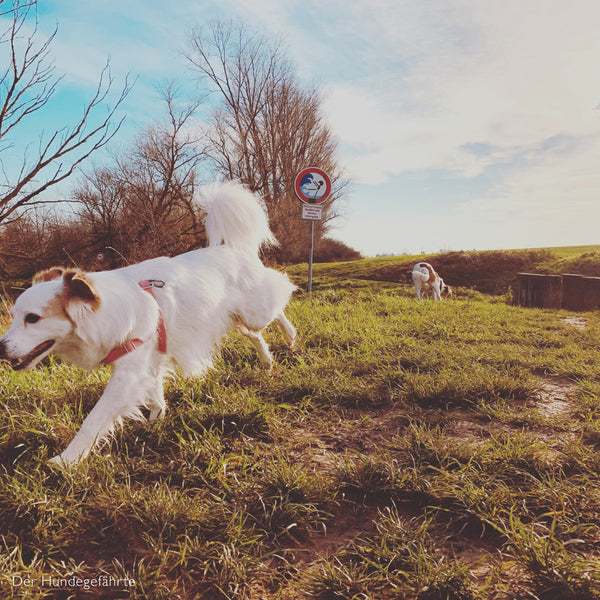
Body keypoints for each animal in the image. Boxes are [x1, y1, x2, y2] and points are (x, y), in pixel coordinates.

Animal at [0, 183, 296, 468]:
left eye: (33, 318)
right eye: (14, 315)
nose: (0, 348)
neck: (104, 314)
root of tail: (231, 248)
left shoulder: (128, 375)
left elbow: (93, 420)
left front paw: (67, 460)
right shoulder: (148, 364)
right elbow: (155, 393)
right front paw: (157, 418)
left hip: (255, 310)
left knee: (280, 294)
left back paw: (290, 335)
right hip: (235, 318)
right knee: (256, 334)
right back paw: (267, 360)